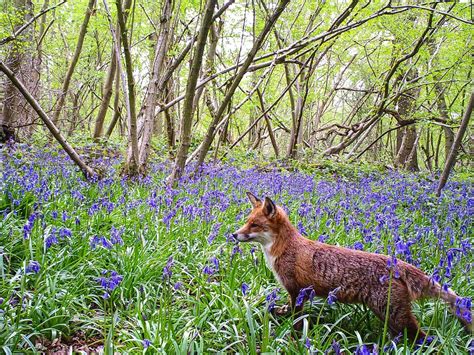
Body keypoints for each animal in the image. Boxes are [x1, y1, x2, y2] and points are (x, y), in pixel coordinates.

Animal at [232, 195, 470, 342]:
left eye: (254, 225)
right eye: (247, 221)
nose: (234, 234)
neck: (284, 248)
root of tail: (396, 263)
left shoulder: (297, 291)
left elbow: (296, 321)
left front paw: (293, 338)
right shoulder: (300, 294)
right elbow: (285, 311)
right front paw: (278, 313)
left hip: (395, 316)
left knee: (425, 338)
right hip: (388, 317)